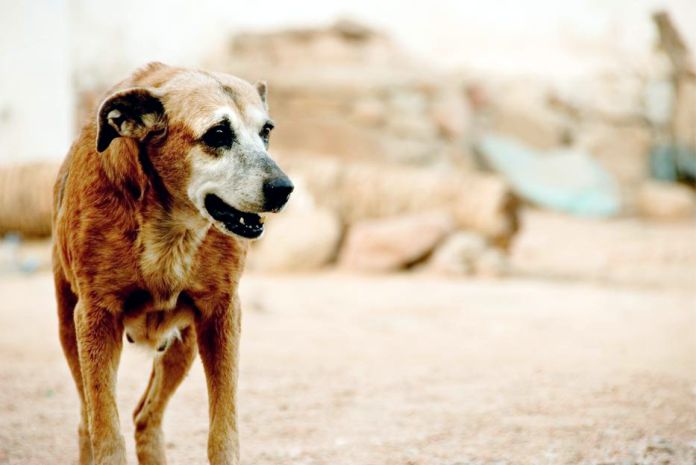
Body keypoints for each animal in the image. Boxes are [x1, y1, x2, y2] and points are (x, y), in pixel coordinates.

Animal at [51, 62, 294, 464]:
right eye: (218, 133)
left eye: (266, 132)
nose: (284, 189)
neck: (172, 229)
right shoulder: (95, 319)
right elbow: (106, 436)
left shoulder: (222, 315)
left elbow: (223, 433)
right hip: (69, 328)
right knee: (87, 422)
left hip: (185, 343)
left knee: (145, 418)